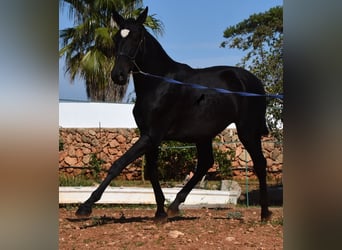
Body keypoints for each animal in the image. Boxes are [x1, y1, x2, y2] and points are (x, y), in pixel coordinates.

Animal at [75, 7, 272, 221]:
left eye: (137, 37)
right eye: (116, 38)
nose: (117, 75)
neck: (159, 83)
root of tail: (255, 82)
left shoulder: (151, 136)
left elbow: (118, 164)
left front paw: (85, 206)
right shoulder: (149, 136)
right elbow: (152, 171)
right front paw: (160, 211)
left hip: (247, 130)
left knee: (260, 163)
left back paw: (265, 213)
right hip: (203, 135)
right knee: (205, 164)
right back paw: (175, 205)